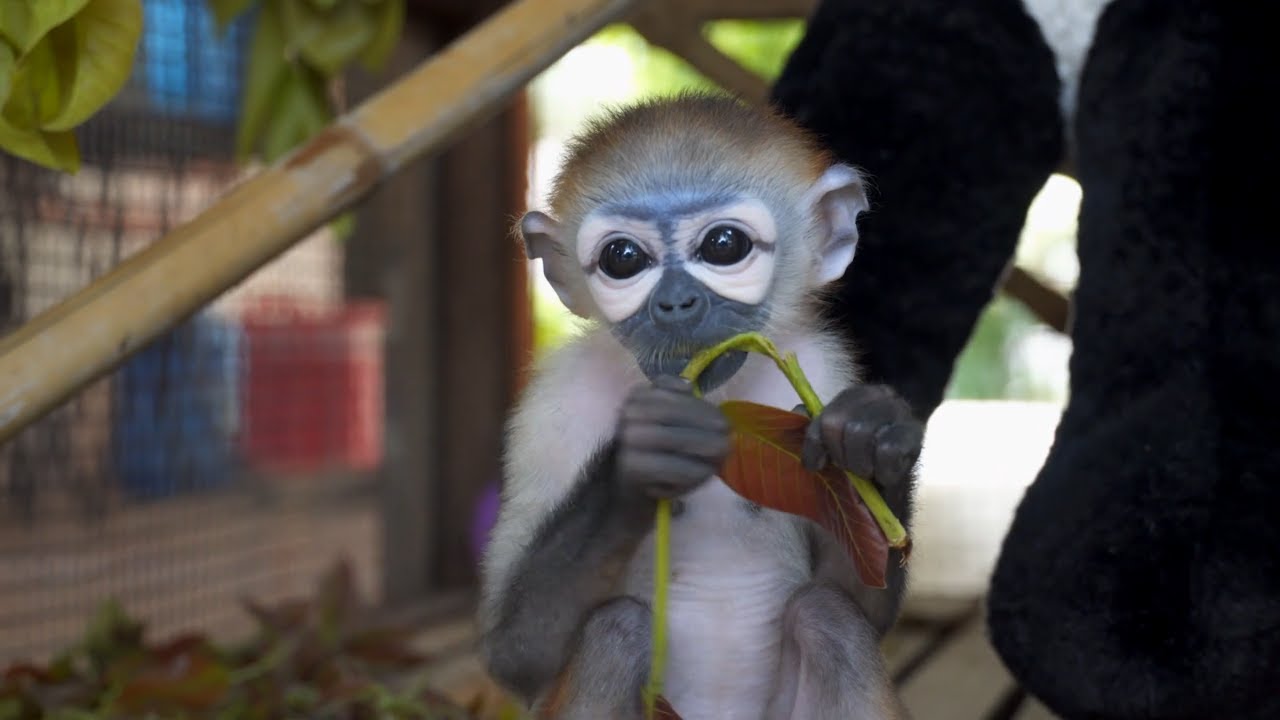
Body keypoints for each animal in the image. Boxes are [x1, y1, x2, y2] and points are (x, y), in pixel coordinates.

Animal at [478, 93, 922, 720]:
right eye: (622, 258)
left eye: (723, 246)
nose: (675, 302)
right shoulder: (551, 407)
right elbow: (512, 655)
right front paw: (638, 460)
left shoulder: (823, 369)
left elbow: (861, 599)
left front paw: (872, 440)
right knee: (614, 632)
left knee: (830, 618)